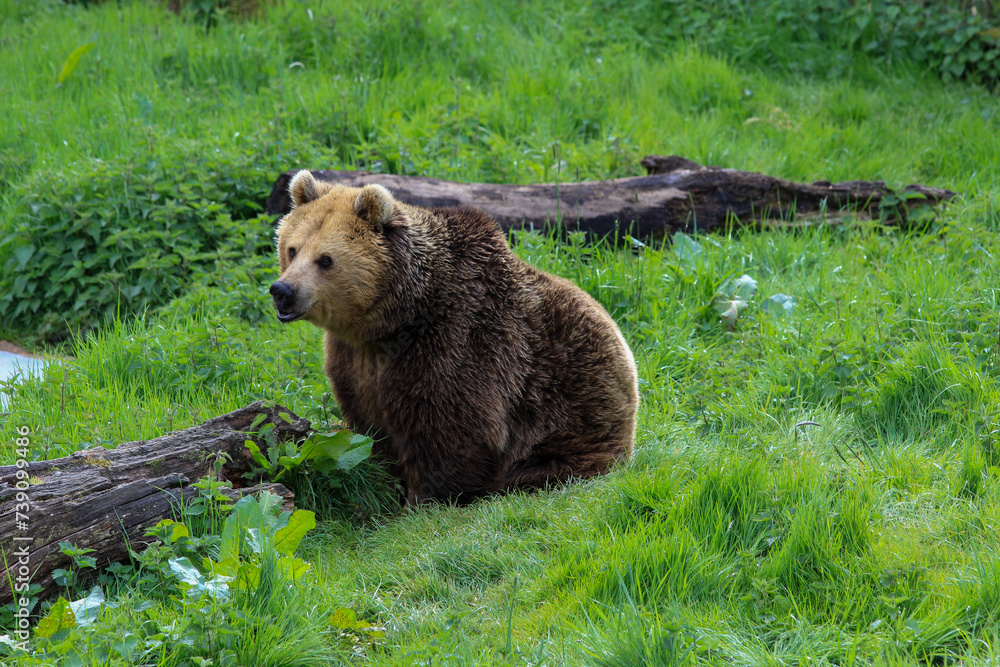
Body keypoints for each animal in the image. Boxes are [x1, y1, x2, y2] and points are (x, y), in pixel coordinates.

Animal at [270, 170, 639, 504]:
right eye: (292, 249)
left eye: (325, 259)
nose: (283, 291)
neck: (398, 316)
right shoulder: (353, 359)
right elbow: (370, 428)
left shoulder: (458, 339)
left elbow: (453, 429)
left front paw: (422, 499)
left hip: (573, 411)